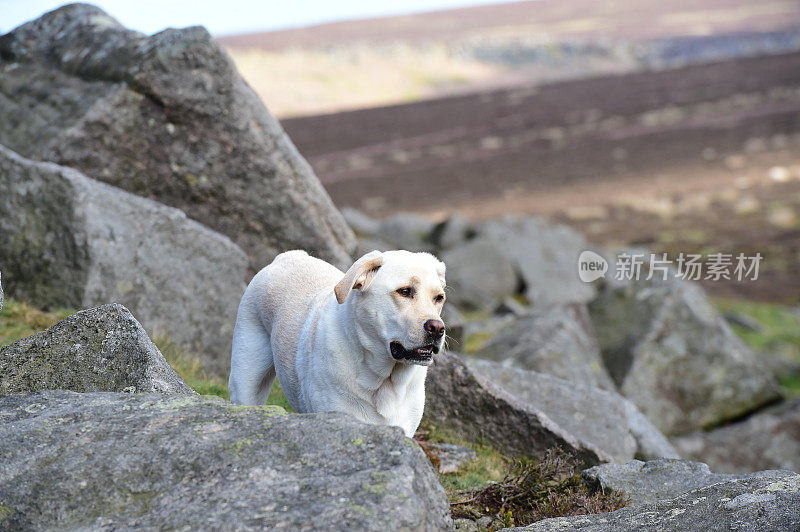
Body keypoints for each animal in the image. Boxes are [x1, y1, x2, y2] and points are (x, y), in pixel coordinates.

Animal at [228, 249, 446, 436]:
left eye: (439, 298)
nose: (437, 328)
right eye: (404, 291)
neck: (384, 381)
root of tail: (288, 256)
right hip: (246, 382)